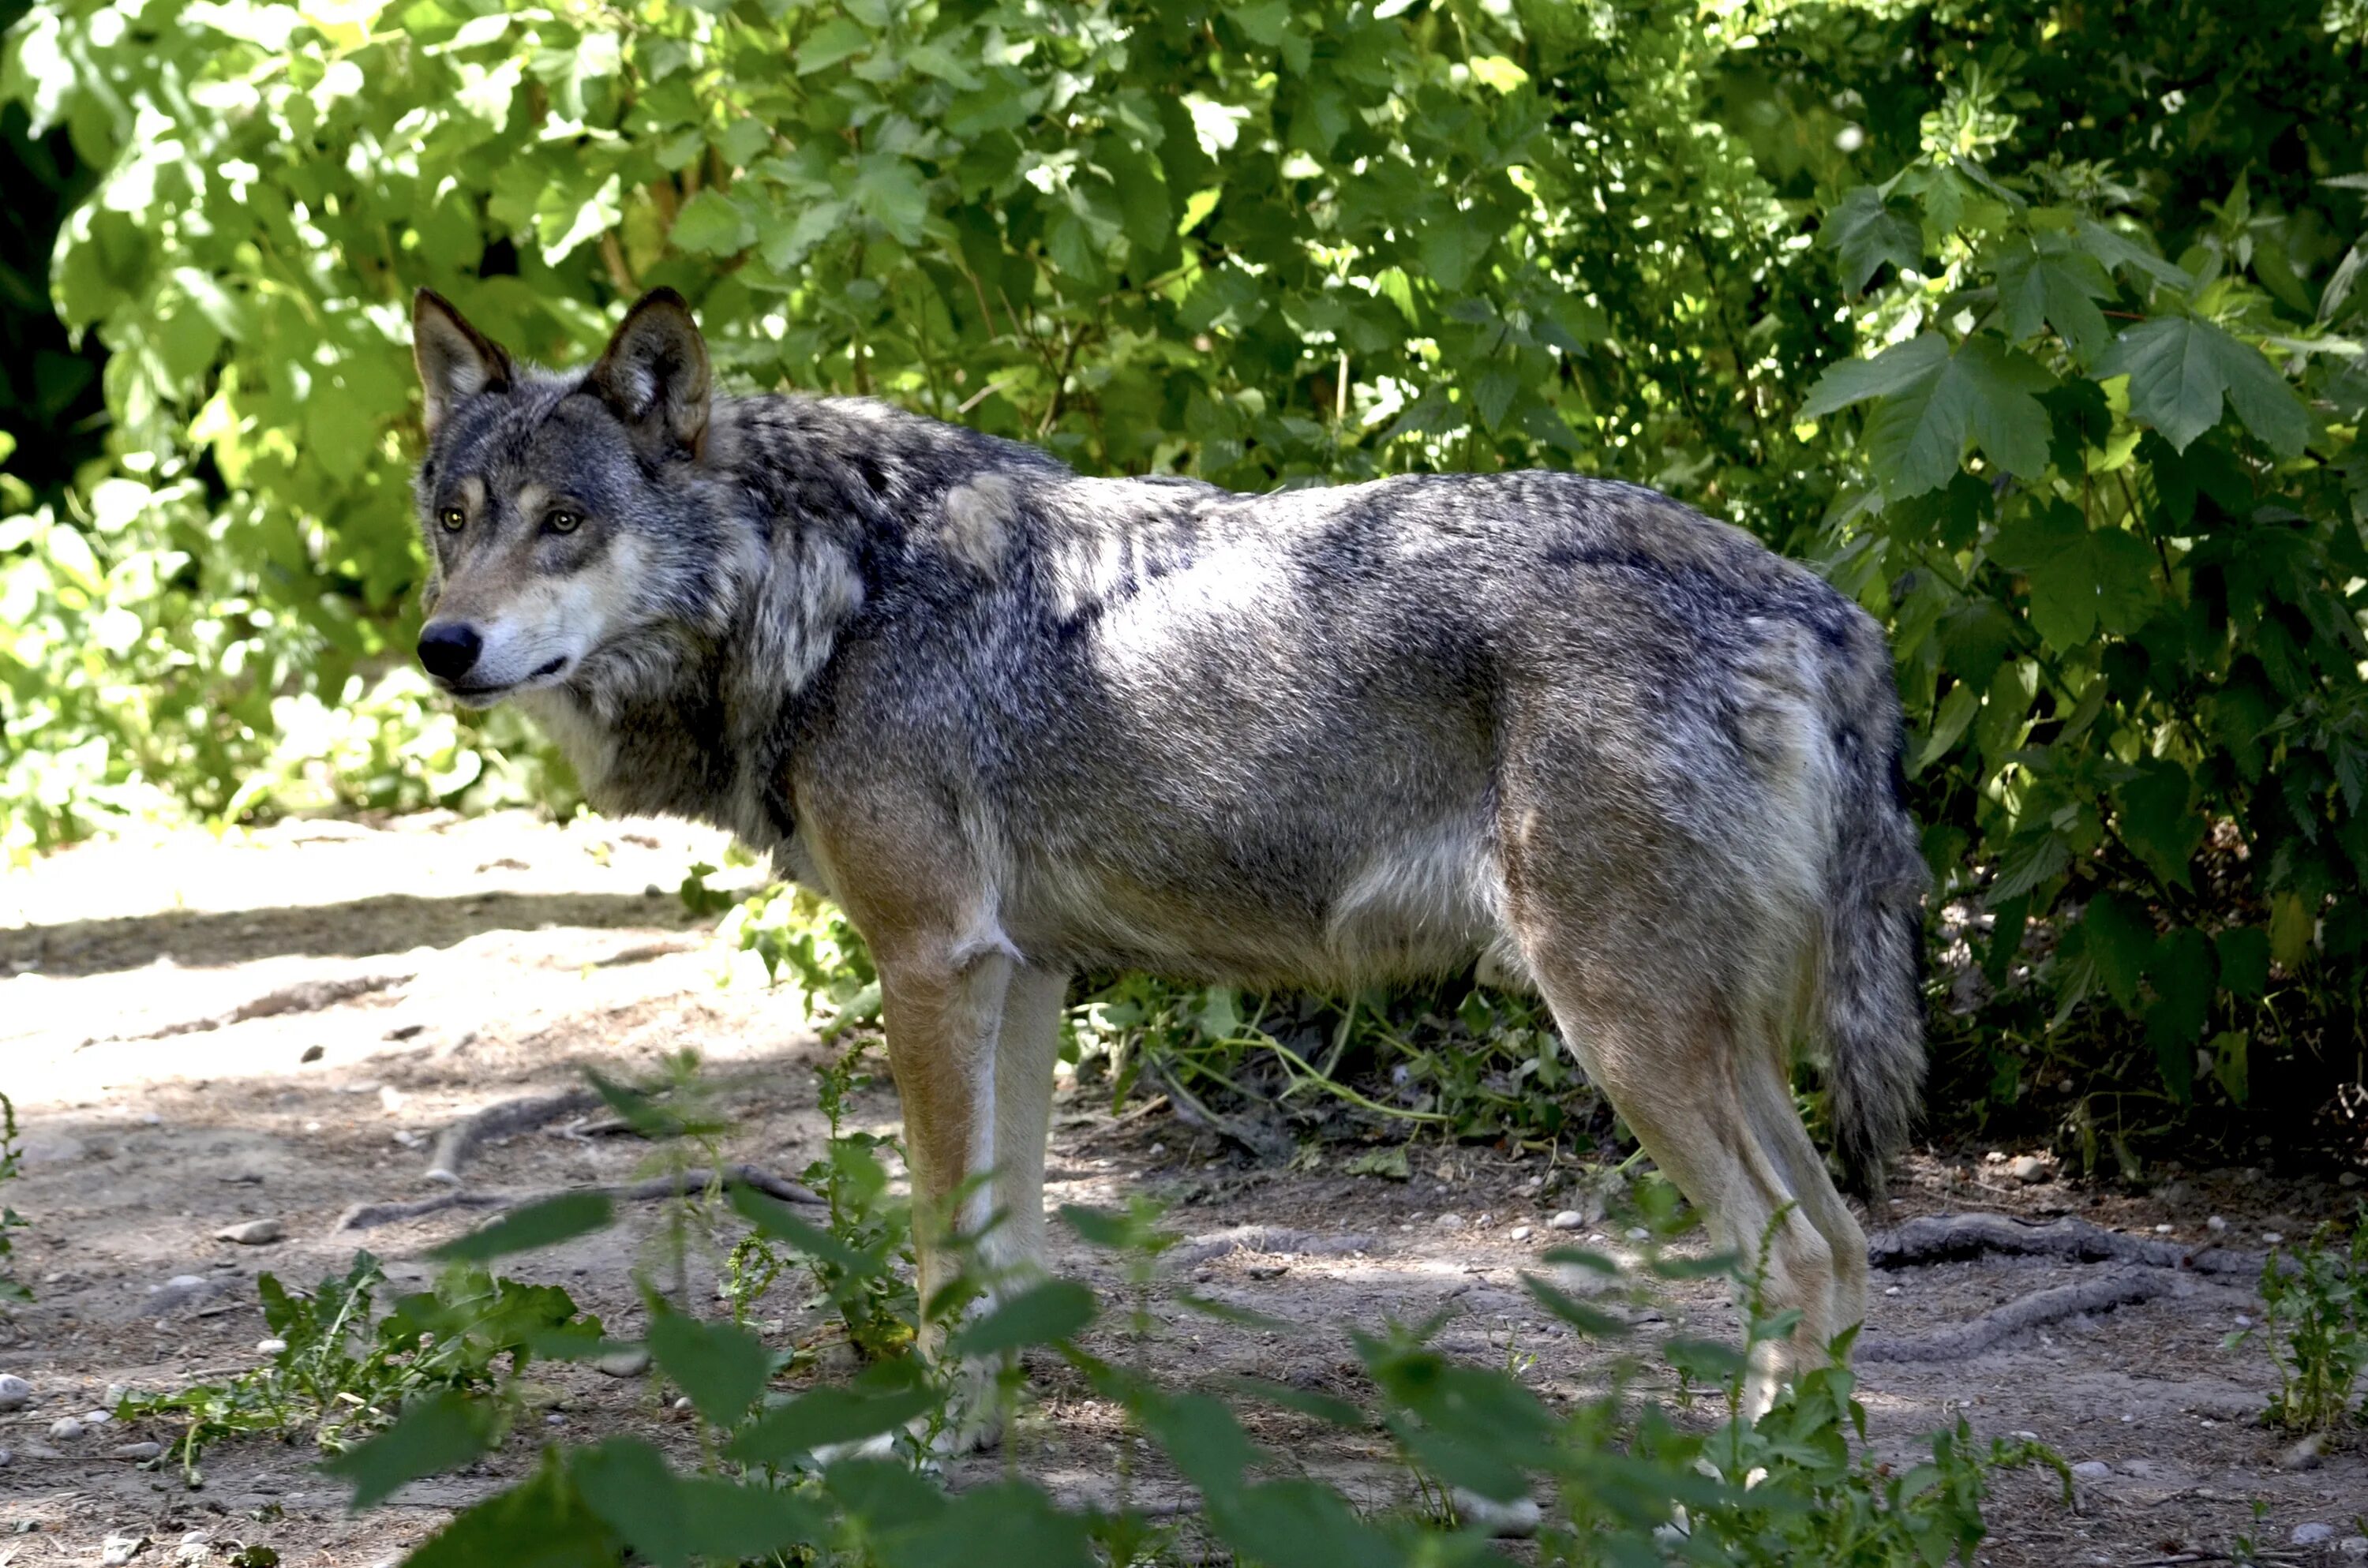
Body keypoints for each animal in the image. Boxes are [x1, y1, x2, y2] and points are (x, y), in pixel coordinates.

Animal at [407, 289, 1923, 1420]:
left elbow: (939, 1250)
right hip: (1717, 1039)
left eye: (564, 521)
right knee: (1849, 1252)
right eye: (456, 518)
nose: (441, 645)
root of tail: (1819, 607)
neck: (833, 589)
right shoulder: (1019, 975)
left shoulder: (930, 964)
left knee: (1800, 1261)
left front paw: (926, 1450)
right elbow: (1005, 1240)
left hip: (1623, 1031)